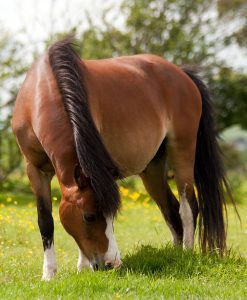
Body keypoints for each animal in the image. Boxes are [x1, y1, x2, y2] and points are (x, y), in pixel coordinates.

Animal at [11, 37, 232, 282]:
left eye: (112, 217)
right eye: (89, 217)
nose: (112, 264)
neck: (41, 91)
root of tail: (182, 74)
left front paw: (81, 267)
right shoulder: (34, 170)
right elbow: (45, 220)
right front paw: (50, 274)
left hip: (183, 150)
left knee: (188, 207)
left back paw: (186, 253)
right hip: (152, 169)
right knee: (171, 209)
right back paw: (174, 254)